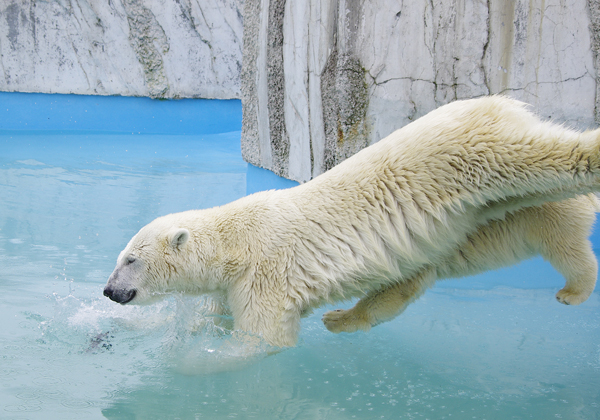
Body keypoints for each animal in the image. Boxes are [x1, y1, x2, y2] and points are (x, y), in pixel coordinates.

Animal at [105, 97, 600, 346]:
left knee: (540, 162)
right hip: (481, 217)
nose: (109, 291)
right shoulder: (234, 283)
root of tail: (497, 103)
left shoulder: (265, 273)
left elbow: (264, 334)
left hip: (469, 154)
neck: (237, 240)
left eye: (130, 260)